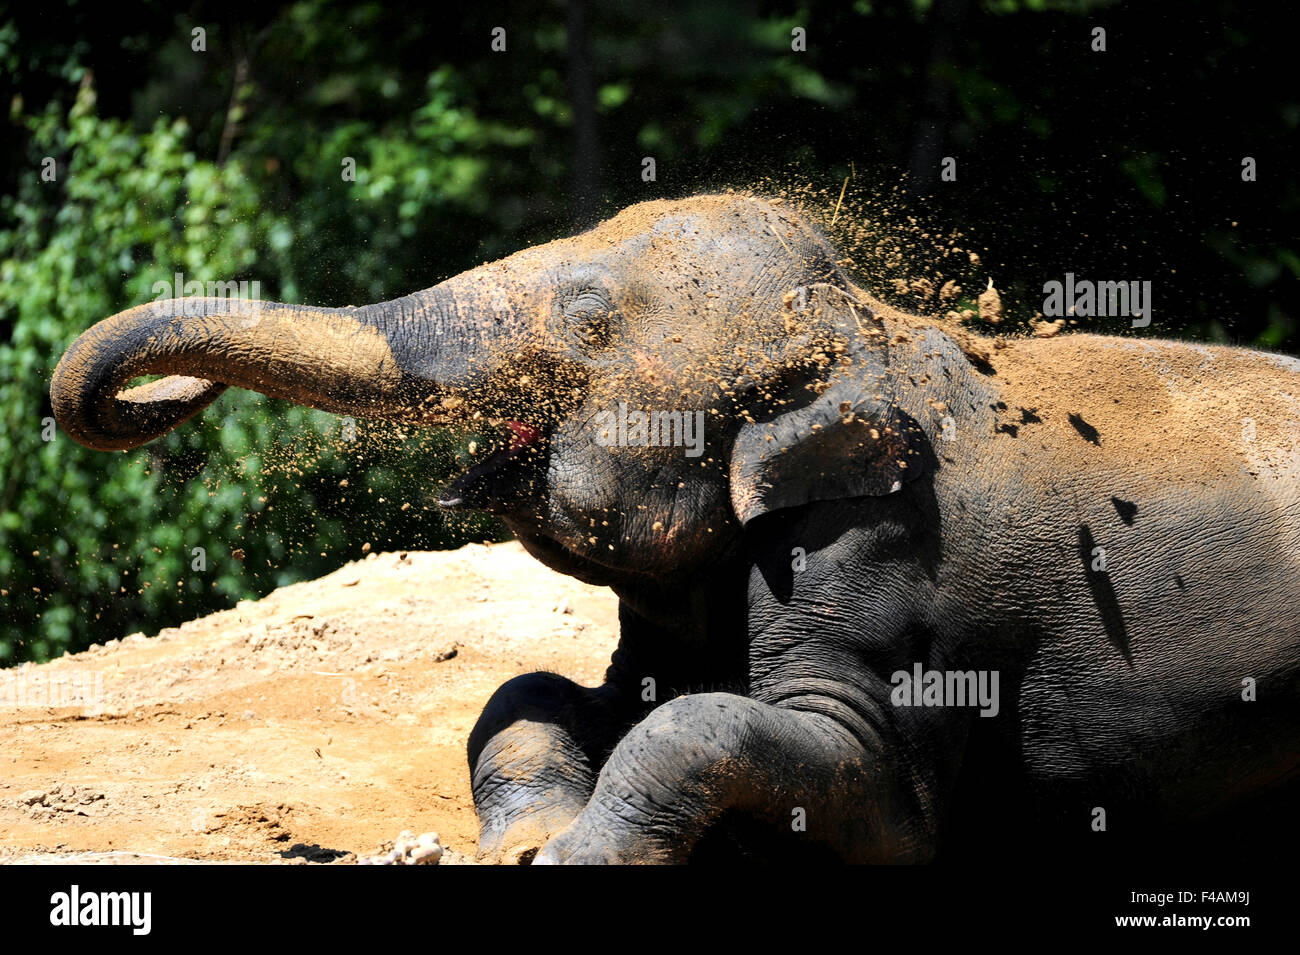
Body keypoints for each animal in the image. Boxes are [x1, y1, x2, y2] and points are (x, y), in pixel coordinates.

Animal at [50, 194, 1300, 867]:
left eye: (589, 319)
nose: (162, 397)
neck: (866, 327)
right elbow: (546, 693)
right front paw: (524, 837)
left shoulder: (880, 567)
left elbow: (826, 776)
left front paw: (574, 855)